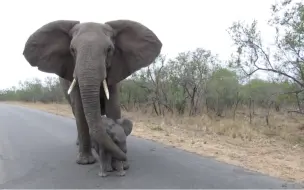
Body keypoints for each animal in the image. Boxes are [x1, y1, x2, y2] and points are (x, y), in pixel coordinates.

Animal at [22, 19, 163, 165]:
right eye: (72, 50)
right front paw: (86, 161)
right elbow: (80, 111)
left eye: (109, 49)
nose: (123, 154)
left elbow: (113, 108)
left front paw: (119, 162)